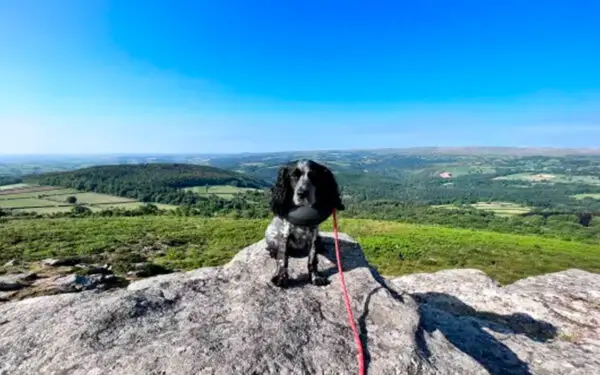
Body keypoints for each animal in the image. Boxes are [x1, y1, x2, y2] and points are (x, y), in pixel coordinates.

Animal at [264, 160, 344, 290]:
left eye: (314, 176)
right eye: (294, 176)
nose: (302, 193)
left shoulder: (314, 235)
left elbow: (312, 259)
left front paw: (315, 278)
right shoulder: (285, 233)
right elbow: (283, 258)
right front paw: (280, 278)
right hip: (271, 233)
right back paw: (272, 252)